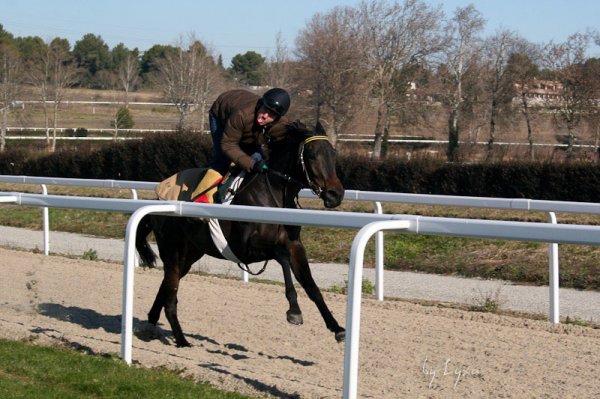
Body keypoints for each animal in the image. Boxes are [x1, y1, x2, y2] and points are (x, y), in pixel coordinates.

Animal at [134, 120, 344, 348]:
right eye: (312, 155)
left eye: (333, 154)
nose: (336, 194)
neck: (273, 195)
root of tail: (158, 197)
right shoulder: (244, 249)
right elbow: (281, 256)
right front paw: (294, 310)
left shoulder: (295, 245)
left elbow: (311, 285)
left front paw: (337, 328)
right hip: (172, 249)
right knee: (170, 295)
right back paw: (181, 341)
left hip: (191, 253)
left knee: (166, 286)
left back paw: (151, 324)